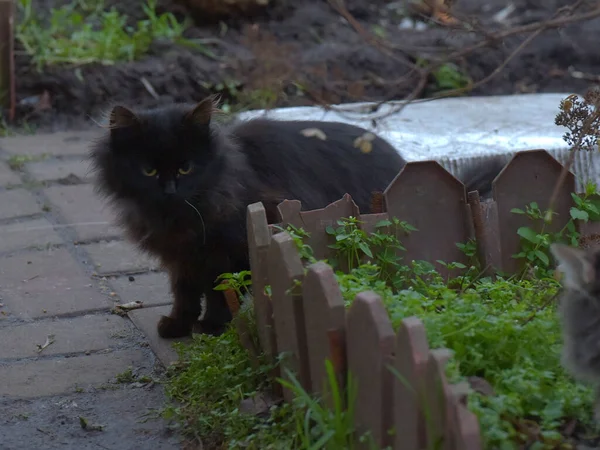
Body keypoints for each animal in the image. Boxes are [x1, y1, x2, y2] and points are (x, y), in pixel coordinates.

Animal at [89, 97, 502, 338]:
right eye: (147, 170)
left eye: (187, 166)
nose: (170, 188)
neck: (179, 215)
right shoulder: (183, 257)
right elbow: (185, 291)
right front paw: (178, 324)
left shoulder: (229, 248)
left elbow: (221, 288)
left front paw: (213, 325)